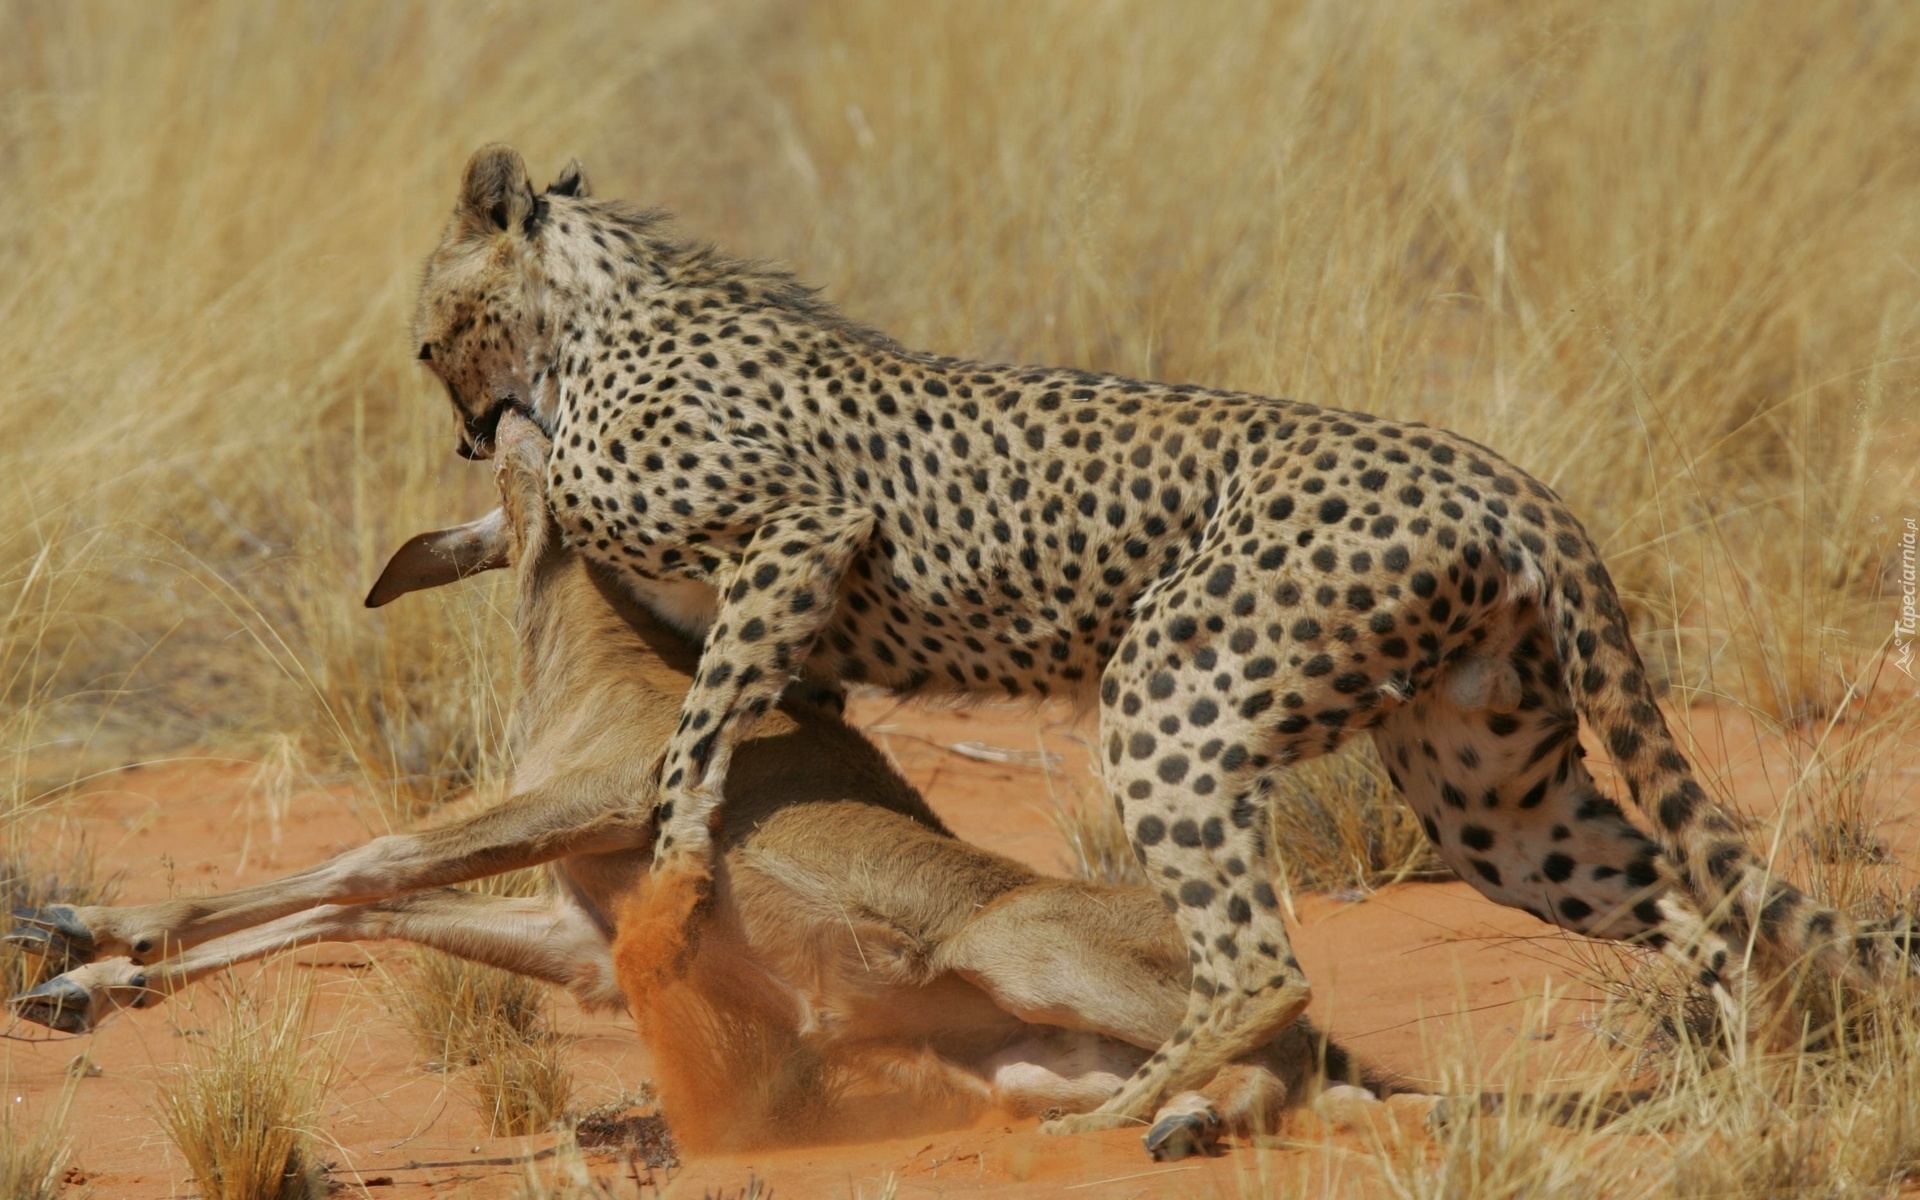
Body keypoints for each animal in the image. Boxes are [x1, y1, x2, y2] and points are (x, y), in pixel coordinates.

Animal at [7, 408, 1405, 1152]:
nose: (505, 417)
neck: (593, 663)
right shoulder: (576, 934)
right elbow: (370, 909)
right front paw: (79, 980)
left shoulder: (596, 807)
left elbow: (370, 864)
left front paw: (85, 926)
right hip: (1023, 1061)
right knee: (1288, 1067)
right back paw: (1179, 1119)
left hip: (1028, 952)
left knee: (1285, 1023)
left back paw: (1184, 1125)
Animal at [412, 144, 1912, 1128]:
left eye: (430, 335)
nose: (463, 432)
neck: (600, 313)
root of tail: (1489, 465)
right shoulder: (807, 629)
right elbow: (767, 740)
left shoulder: (801, 533)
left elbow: (696, 736)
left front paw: (668, 912)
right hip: (1494, 795)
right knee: (1698, 911)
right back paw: (1734, 1099)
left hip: (1173, 698)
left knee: (1261, 966)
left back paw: (1116, 1112)